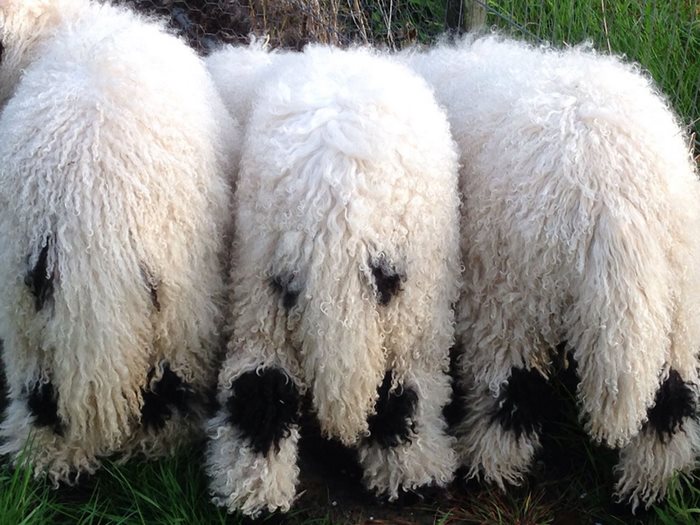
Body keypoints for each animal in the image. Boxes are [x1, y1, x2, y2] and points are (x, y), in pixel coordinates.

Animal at [205, 44, 462, 516]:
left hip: (261, 282)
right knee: (405, 385)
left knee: (262, 382)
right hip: (414, 302)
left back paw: (254, 494)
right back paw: (414, 476)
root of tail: (334, 212)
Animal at [400, 34, 700, 509]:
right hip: (677, 298)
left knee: (510, 391)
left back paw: (489, 468)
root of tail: (617, 193)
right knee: (670, 401)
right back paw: (650, 487)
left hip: (514, 293)